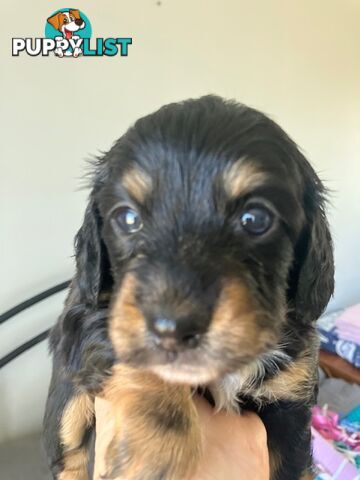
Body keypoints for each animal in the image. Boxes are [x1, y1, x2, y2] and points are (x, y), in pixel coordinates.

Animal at [43, 95, 334, 478]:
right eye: (128, 218)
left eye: (255, 218)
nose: (173, 328)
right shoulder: (80, 311)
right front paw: (155, 444)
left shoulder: (290, 404)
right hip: (64, 402)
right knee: (69, 452)